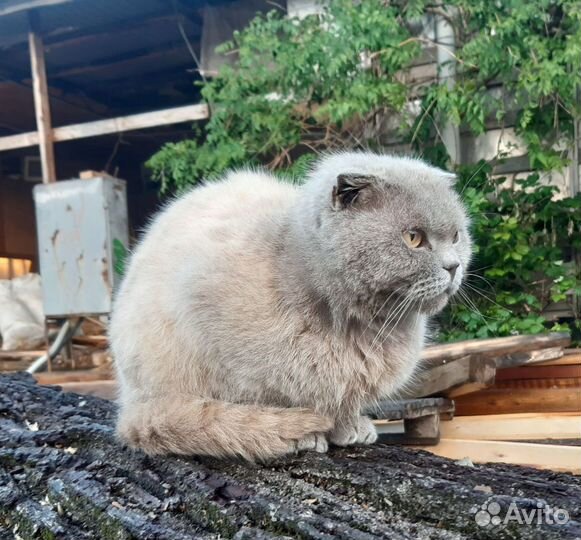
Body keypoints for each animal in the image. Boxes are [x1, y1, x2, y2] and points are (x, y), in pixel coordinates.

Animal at [110, 151, 472, 460]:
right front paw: (304, 432)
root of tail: (129, 402)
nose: (453, 266)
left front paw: (350, 427)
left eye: (456, 236)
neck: (356, 326)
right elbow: (265, 400)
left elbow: (343, 401)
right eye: (413, 238)